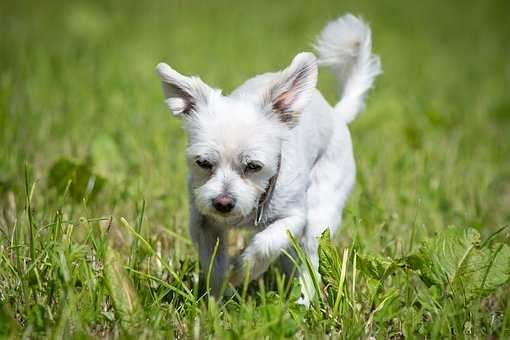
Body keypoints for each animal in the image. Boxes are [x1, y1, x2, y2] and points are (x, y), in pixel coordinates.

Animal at [155, 13, 378, 306]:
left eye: (254, 167)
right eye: (203, 163)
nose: (223, 203)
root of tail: (336, 114)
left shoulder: (294, 218)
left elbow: (265, 243)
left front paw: (242, 270)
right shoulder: (203, 223)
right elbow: (214, 265)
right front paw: (217, 302)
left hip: (320, 215)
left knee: (310, 263)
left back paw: (304, 302)